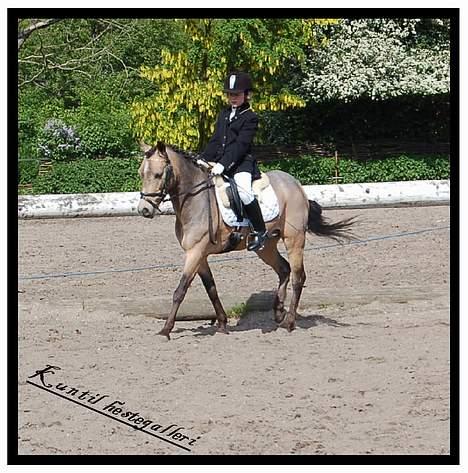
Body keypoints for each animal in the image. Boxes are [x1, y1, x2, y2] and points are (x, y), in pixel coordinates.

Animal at [136, 141, 354, 340]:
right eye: (141, 174)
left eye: (158, 174)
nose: (144, 210)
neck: (194, 200)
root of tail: (296, 185)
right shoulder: (200, 255)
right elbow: (211, 289)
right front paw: (222, 324)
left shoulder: (195, 252)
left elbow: (180, 290)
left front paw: (165, 330)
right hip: (265, 246)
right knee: (284, 269)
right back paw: (278, 312)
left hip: (294, 240)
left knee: (298, 277)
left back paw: (290, 322)